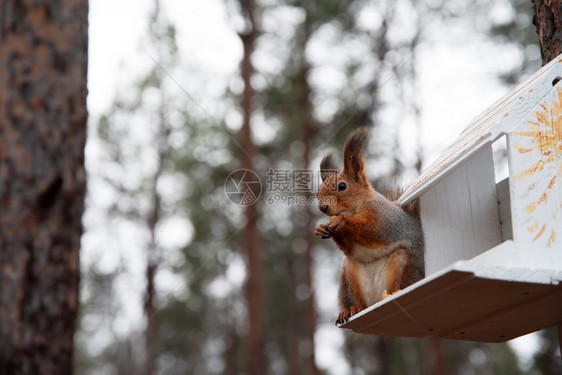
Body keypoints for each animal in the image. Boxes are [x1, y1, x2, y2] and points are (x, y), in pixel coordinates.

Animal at [312, 127, 422, 326]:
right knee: (359, 303)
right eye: (318, 191)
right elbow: (351, 246)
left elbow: (372, 230)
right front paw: (321, 228)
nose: (322, 207)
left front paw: (340, 223)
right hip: (349, 276)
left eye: (342, 186)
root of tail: (376, 301)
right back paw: (350, 309)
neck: (355, 209)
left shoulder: (384, 217)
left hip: (404, 264)